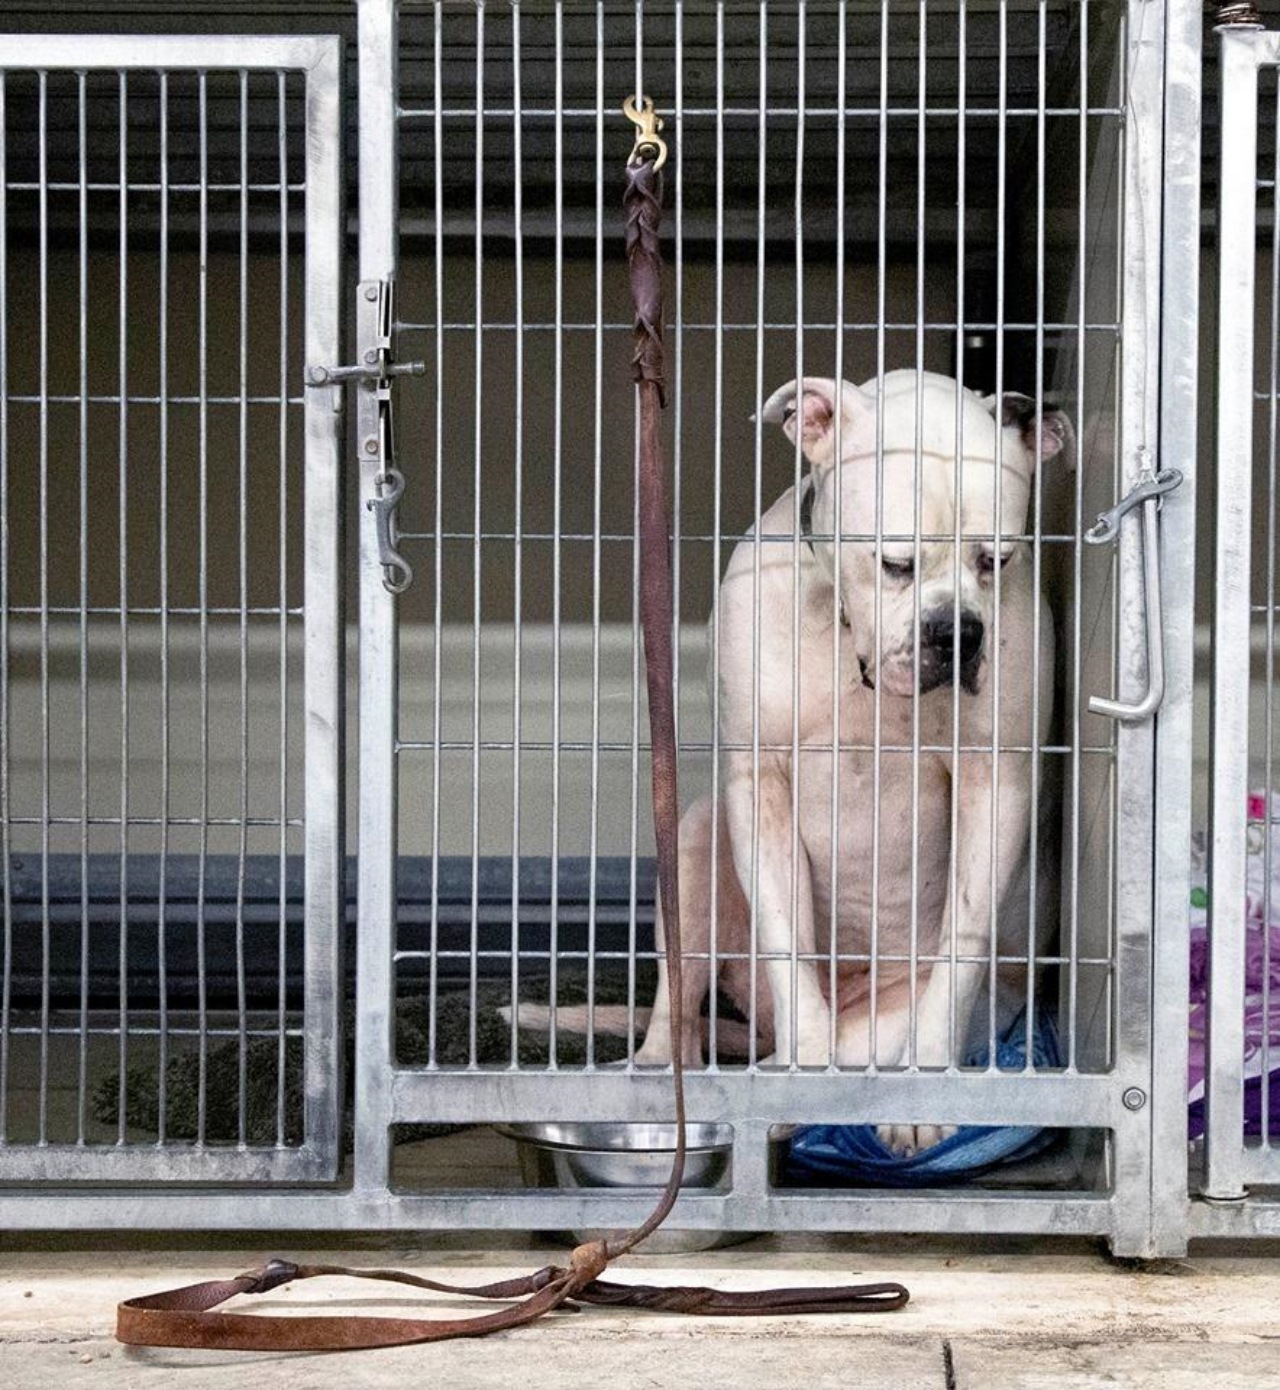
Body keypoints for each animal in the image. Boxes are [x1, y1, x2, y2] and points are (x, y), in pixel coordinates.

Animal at [628, 366, 1067, 1150]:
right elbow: (787, 943)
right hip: (697, 838)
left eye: (997, 560)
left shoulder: (996, 787)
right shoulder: (759, 785)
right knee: (684, 999)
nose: (956, 631)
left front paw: (921, 1104)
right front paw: (803, 1075)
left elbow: (960, 951)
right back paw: (669, 1077)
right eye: (894, 562)